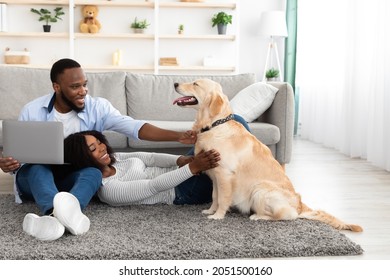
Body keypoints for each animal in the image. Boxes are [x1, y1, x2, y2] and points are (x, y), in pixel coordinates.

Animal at [174, 79, 362, 232]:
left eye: (195, 84)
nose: (175, 83)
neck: (214, 125)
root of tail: (300, 204)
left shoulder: (225, 175)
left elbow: (223, 198)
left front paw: (218, 216)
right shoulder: (215, 176)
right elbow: (215, 196)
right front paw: (210, 210)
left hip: (260, 190)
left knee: (287, 215)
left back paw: (257, 216)